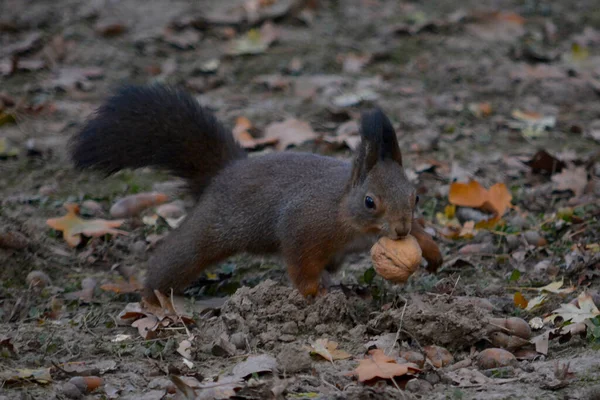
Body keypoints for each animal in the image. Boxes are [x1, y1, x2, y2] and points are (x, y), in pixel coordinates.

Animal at [71, 85, 440, 304]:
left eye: (416, 197)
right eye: (369, 202)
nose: (400, 230)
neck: (344, 211)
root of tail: (225, 172)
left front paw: (433, 252)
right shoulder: (303, 226)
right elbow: (300, 263)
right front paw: (314, 293)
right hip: (208, 233)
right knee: (175, 258)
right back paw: (153, 299)